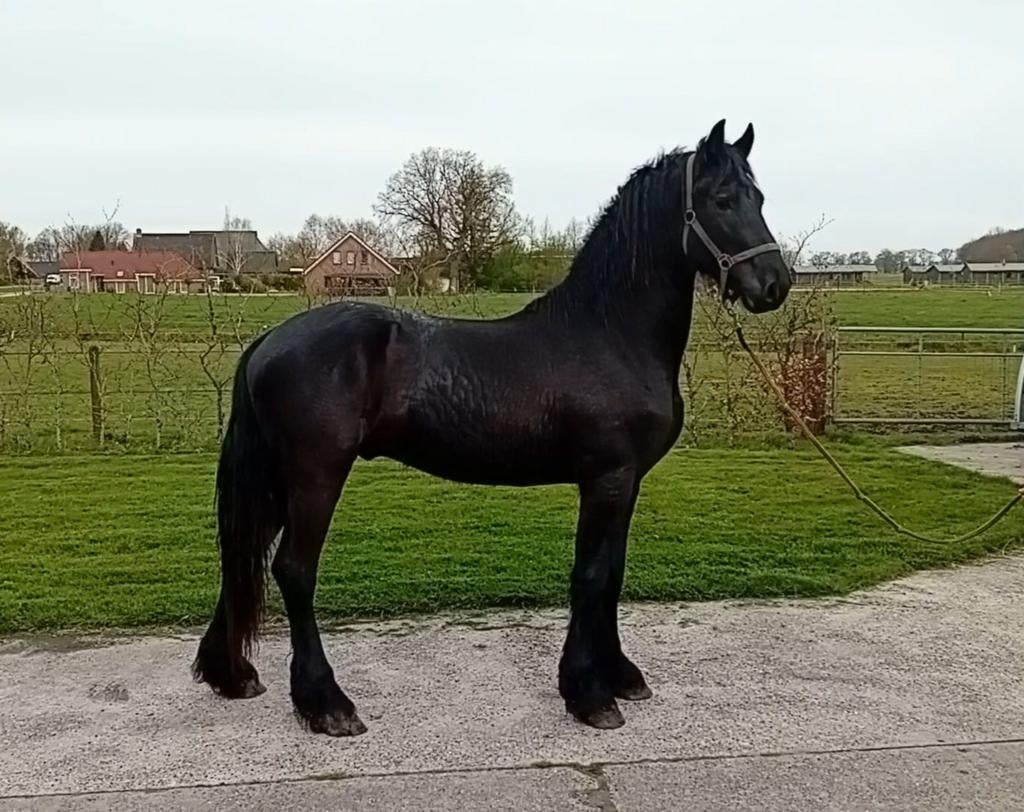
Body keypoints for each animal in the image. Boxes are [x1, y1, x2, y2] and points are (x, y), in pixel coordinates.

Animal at [192, 119, 791, 736]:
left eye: (759, 197)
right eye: (721, 200)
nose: (775, 284)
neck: (608, 333)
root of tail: (269, 340)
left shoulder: (628, 482)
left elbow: (614, 574)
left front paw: (621, 675)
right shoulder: (607, 478)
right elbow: (592, 575)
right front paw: (589, 695)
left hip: (277, 479)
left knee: (244, 556)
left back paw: (232, 675)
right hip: (316, 476)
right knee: (293, 570)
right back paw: (327, 703)